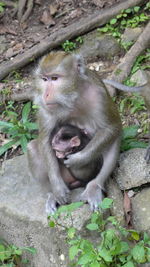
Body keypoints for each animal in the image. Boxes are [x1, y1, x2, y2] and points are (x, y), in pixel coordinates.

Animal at [27, 51, 122, 215]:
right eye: (44, 79)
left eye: (55, 78)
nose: (45, 95)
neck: (74, 95)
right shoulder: (46, 107)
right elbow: (44, 139)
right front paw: (57, 188)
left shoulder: (100, 95)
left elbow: (112, 127)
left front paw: (77, 159)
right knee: (33, 148)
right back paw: (52, 194)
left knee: (113, 142)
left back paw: (94, 186)